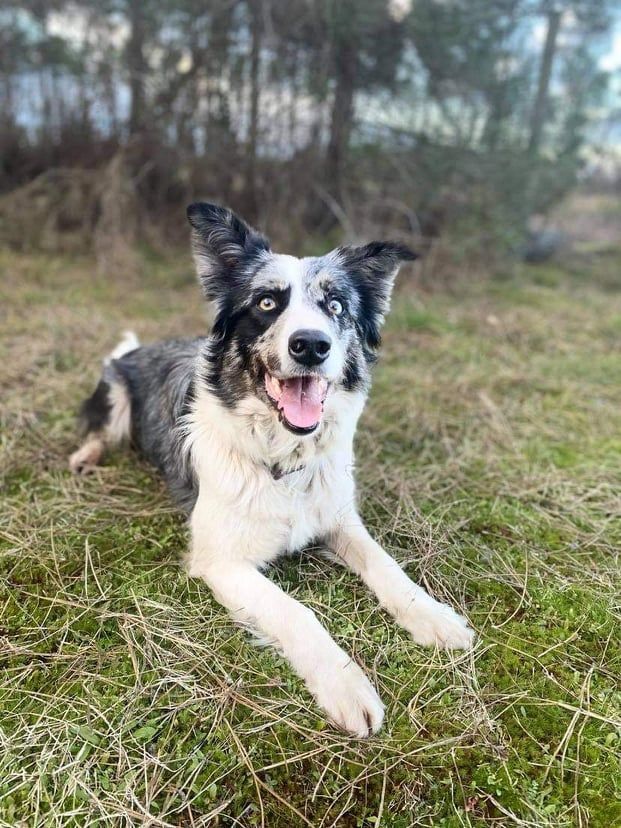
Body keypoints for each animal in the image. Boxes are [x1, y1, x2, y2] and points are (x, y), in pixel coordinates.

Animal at [68, 204, 472, 736]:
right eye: (266, 302)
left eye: (335, 306)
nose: (311, 345)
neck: (286, 460)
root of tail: (135, 350)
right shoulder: (222, 562)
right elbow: (297, 612)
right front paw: (346, 686)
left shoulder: (338, 518)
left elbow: (386, 565)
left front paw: (433, 616)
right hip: (115, 393)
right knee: (100, 427)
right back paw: (85, 457)